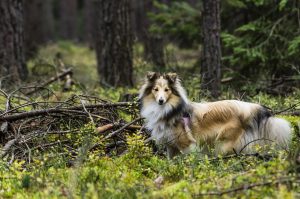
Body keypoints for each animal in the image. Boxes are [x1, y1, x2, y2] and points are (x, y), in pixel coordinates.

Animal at [139, 72, 292, 159]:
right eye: (155, 89)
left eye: (167, 90)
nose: (161, 100)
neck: (167, 110)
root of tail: (248, 107)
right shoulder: (171, 146)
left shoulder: (187, 144)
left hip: (224, 143)